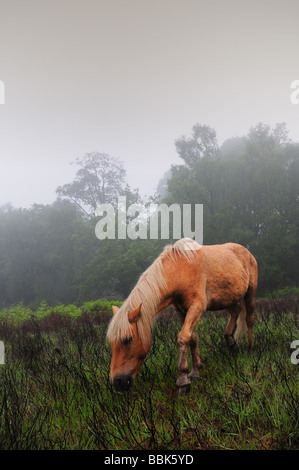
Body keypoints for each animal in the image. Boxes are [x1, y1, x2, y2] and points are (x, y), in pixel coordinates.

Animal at [107, 239, 258, 392]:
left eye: (127, 339)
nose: (117, 382)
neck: (181, 269)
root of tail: (246, 251)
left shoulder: (196, 307)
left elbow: (184, 337)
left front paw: (183, 380)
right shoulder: (180, 310)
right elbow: (192, 338)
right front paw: (195, 371)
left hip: (250, 294)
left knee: (249, 319)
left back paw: (250, 348)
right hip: (227, 298)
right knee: (235, 312)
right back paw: (232, 343)